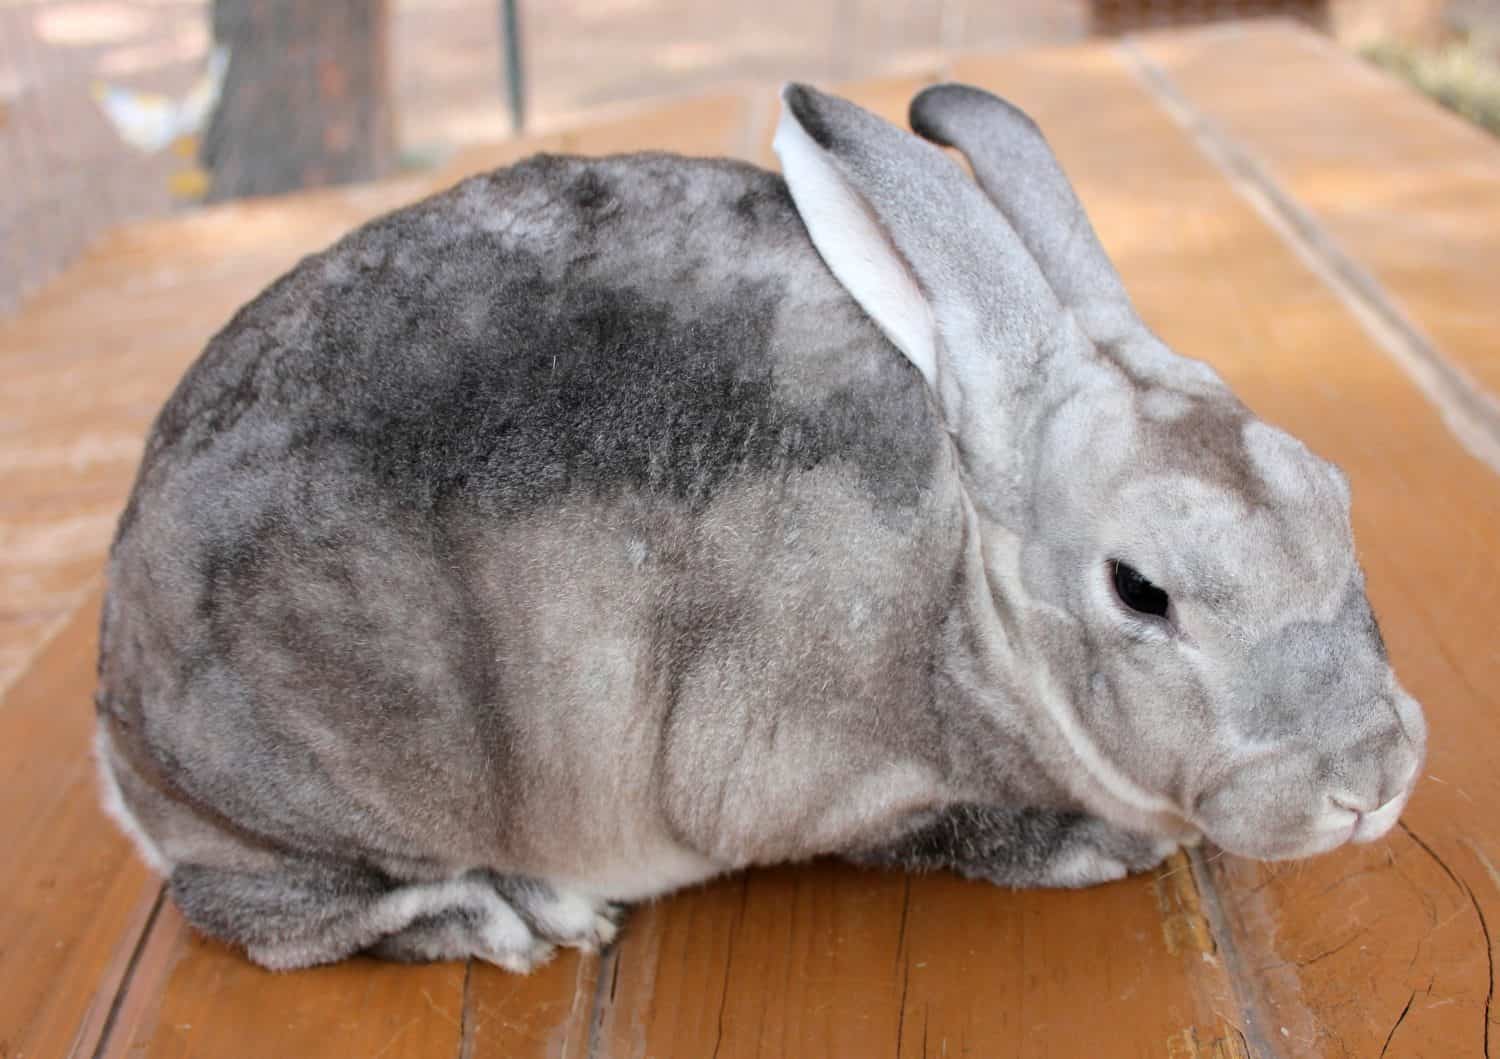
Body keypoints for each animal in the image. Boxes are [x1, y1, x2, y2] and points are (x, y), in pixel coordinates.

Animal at [93, 81, 1427, 973]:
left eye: (1335, 497)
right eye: (1140, 590)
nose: (1372, 783)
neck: (969, 595)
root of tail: (118, 710)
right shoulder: (817, 777)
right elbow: (959, 832)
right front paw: (1101, 847)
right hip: (318, 783)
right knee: (264, 910)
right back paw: (516, 915)